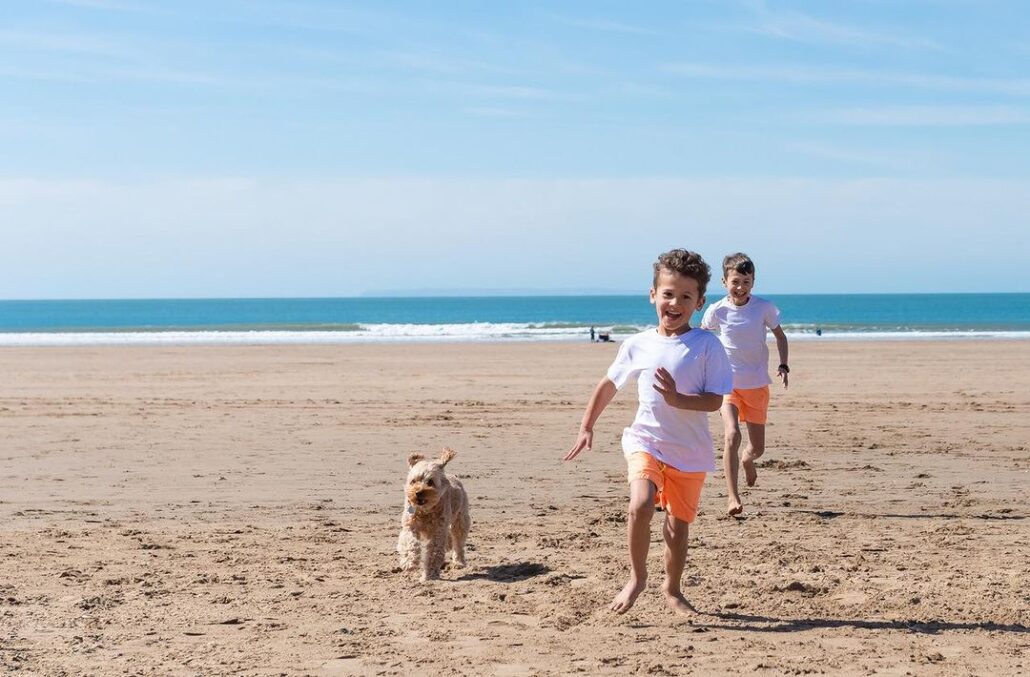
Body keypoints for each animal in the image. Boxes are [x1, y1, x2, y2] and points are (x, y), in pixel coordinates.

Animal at [397, 443, 471, 581]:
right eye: (413, 481)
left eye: (430, 482)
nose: (418, 492)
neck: (425, 511)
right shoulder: (410, 526)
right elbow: (410, 543)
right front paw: (409, 562)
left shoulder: (438, 531)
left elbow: (433, 553)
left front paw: (429, 575)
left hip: (461, 519)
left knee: (458, 542)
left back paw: (459, 562)